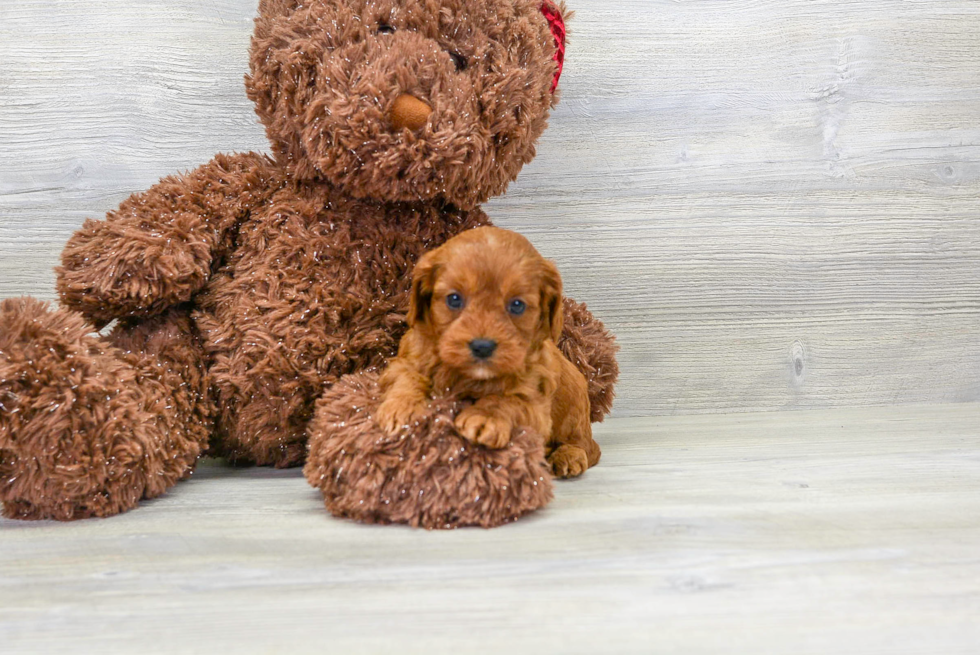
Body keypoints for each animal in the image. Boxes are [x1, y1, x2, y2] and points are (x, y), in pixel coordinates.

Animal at [374, 226, 596, 476]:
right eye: (454, 299)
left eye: (517, 305)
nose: (482, 346)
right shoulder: (403, 361)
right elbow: (407, 377)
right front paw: (402, 408)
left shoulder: (537, 406)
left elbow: (508, 400)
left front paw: (485, 417)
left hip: (575, 412)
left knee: (585, 446)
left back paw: (568, 456)